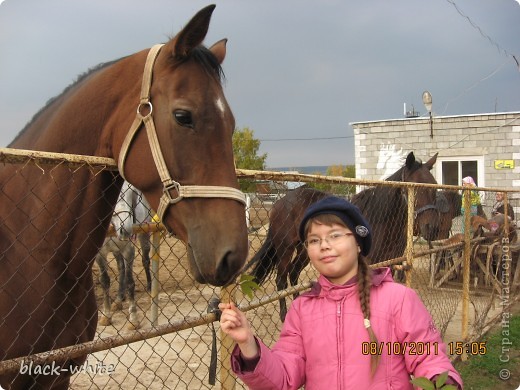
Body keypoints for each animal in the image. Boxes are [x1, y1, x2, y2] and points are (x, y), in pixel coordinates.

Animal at [248, 152, 438, 320]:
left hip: (305, 250)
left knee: (293, 273)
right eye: (416, 188)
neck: (379, 219)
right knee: (281, 279)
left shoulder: (390, 263)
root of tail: (280, 202)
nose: (432, 229)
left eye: (434, 188)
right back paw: (284, 315)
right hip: (285, 247)